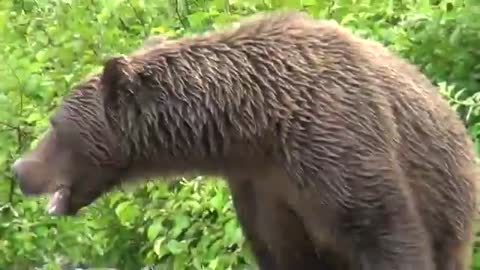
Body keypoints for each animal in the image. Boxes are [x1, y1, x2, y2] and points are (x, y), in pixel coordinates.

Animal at [12, 11, 480, 270]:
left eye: (55, 124)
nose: (19, 169)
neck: (255, 126)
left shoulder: (338, 139)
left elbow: (386, 231)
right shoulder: (262, 188)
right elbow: (282, 251)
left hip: (450, 202)